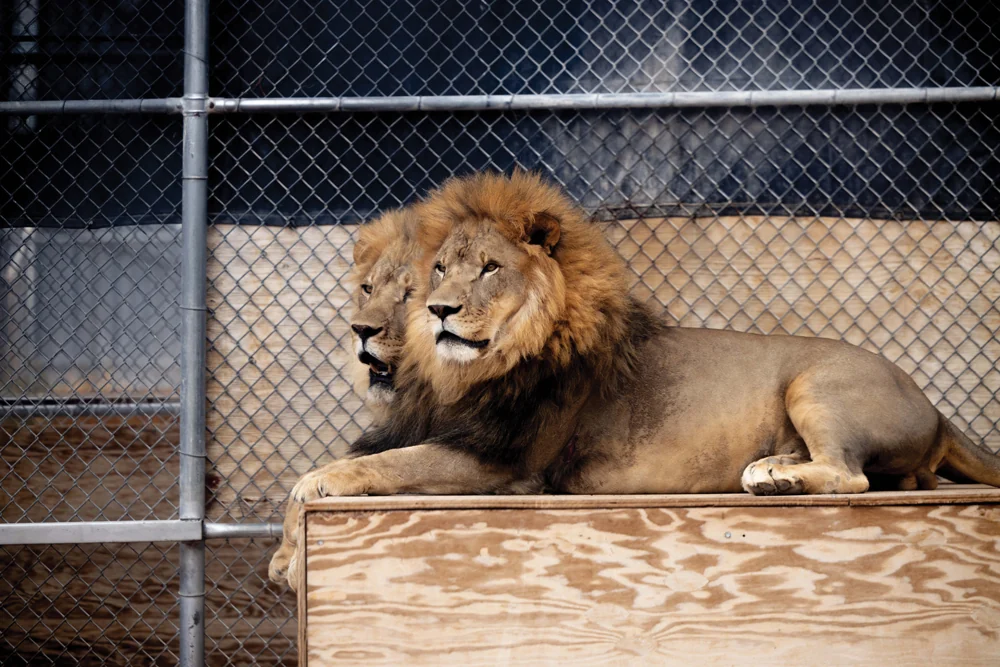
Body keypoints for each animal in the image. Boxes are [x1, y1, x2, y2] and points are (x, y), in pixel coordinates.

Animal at [268, 207, 419, 588]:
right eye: (368, 289)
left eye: (411, 292)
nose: (360, 329)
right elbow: (323, 470)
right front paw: (286, 552)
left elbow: (392, 463)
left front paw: (296, 563)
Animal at [291, 171, 1000, 509]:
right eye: (440, 270)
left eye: (490, 268)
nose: (439, 311)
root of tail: (937, 410)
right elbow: (387, 454)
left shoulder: (508, 464)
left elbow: (390, 464)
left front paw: (312, 484)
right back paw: (777, 464)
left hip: (817, 384)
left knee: (850, 476)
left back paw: (774, 477)